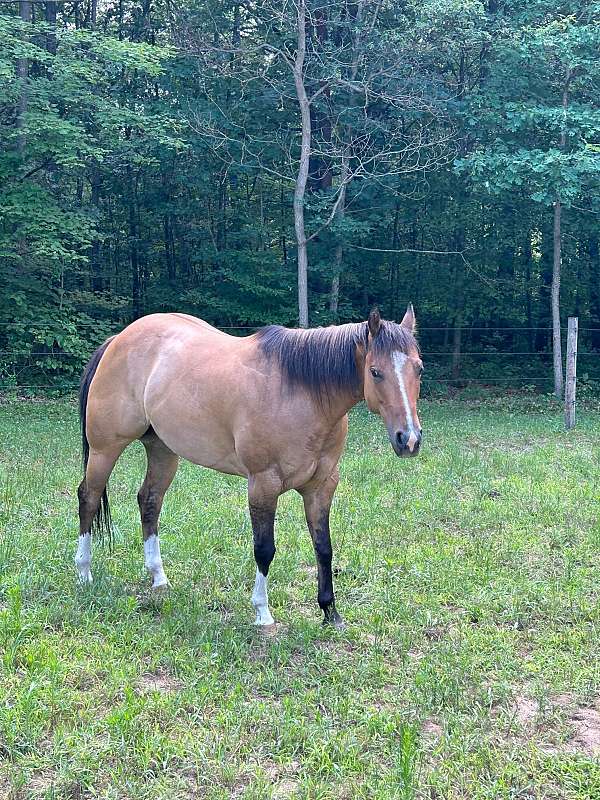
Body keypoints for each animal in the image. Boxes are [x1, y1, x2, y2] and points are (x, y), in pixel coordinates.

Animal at [76, 306, 422, 624]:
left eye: (418, 368)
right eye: (375, 371)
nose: (408, 439)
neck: (303, 394)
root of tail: (118, 340)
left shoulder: (321, 486)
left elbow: (324, 547)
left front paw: (330, 612)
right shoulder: (263, 485)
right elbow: (264, 549)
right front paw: (263, 614)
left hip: (162, 451)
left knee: (149, 501)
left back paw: (159, 579)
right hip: (105, 449)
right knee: (88, 498)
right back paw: (84, 573)